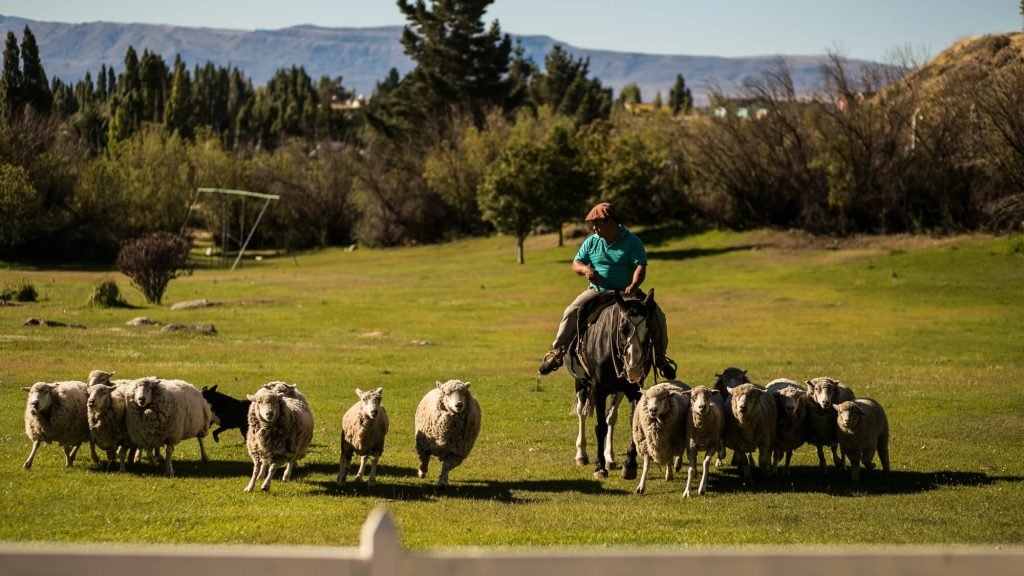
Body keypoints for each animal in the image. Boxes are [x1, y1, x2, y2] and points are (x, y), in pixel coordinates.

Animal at [565, 286, 659, 479]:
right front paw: (599, 467)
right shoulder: (598, 389)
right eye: (623, 329)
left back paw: (610, 458)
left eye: (648, 328)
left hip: (618, 391)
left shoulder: (633, 391)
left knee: (611, 417)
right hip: (581, 384)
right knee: (582, 413)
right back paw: (582, 455)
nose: (634, 369)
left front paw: (629, 465)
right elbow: (600, 426)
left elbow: (631, 423)